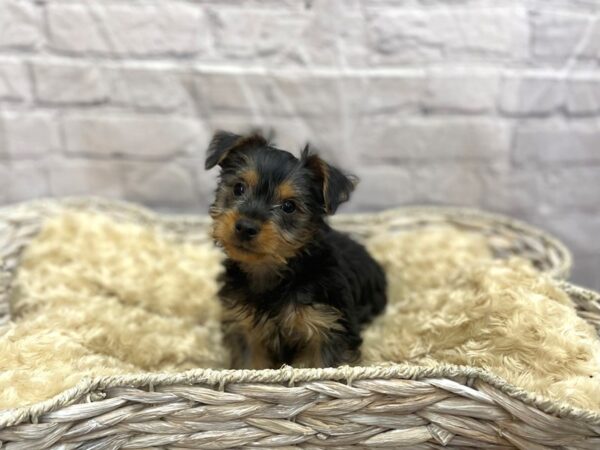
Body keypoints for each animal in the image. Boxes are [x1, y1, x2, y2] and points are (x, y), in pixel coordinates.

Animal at [204, 131, 386, 370]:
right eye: (238, 188)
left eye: (289, 206)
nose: (246, 227)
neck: (275, 270)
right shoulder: (245, 327)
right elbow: (250, 363)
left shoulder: (328, 327)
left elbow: (323, 365)